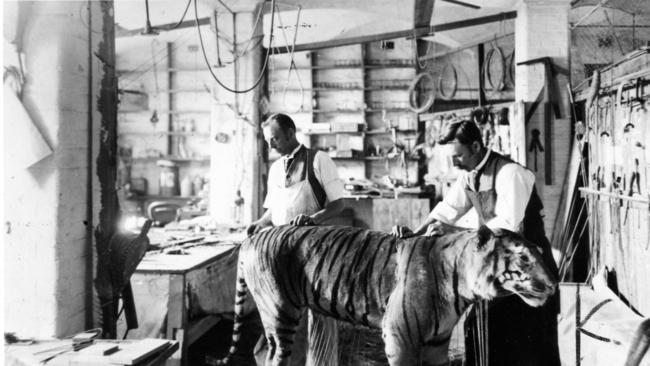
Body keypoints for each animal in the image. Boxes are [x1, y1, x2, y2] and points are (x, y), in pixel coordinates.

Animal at [216, 224, 552, 364]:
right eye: (524, 258)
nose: (552, 284)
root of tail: (251, 238)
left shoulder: (437, 344)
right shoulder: (401, 336)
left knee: (266, 349)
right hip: (279, 311)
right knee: (273, 352)